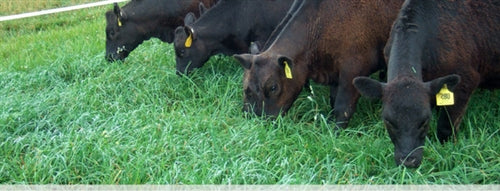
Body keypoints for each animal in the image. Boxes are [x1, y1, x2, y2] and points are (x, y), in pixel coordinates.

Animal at [233, 0, 402, 128]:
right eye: (245, 89)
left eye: (273, 87)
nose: (256, 121)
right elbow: (333, 102)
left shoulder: (353, 72)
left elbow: (343, 108)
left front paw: (335, 134)